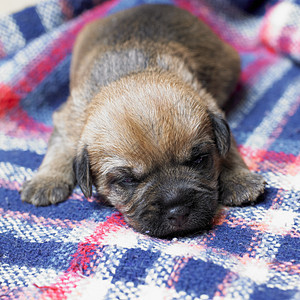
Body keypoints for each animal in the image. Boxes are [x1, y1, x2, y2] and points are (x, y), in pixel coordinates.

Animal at [21, 4, 264, 238]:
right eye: (128, 180)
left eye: (199, 160)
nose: (178, 211)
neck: (133, 72)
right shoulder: (68, 119)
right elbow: (59, 149)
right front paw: (46, 180)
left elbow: (228, 150)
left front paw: (239, 180)